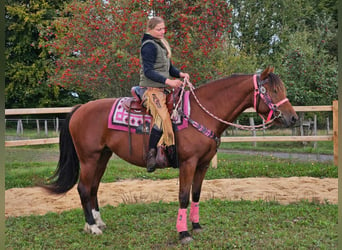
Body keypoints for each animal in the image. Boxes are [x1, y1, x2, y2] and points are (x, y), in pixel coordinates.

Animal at [44, 66, 296, 244]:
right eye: (273, 91)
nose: (293, 118)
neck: (202, 113)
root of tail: (80, 109)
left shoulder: (203, 164)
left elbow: (196, 194)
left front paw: (196, 226)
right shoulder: (188, 163)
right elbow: (183, 196)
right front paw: (183, 233)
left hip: (102, 157)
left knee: (94, 188)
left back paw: (98, 222)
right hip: (88, 158)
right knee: (83, 188)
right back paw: (92, 227)